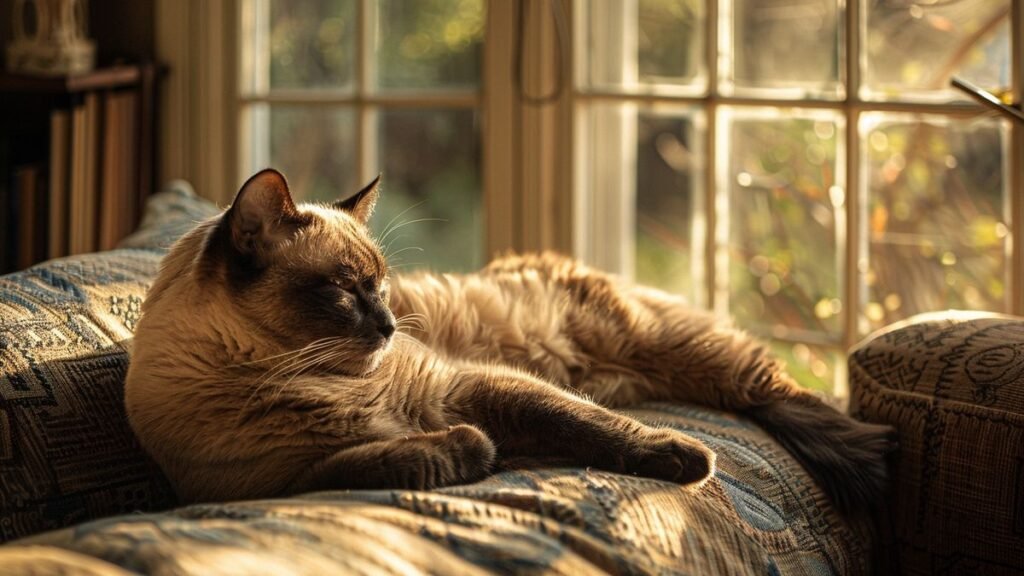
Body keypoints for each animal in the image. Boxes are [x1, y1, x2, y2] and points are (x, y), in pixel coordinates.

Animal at [123, 168, 892, 508]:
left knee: (781, 395)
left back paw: (870, 457)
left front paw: (683, 460)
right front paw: (466, 450)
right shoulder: (272, 483)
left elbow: (594, 427)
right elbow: (383, 459)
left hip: (688, 356)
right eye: (346, 291)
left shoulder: (473, 385)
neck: (302, 379)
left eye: (383, 288)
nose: (391, 326)